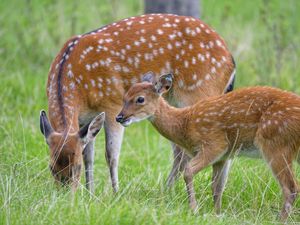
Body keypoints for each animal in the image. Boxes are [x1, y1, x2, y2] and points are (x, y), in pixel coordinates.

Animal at [39, 14, 236, 192]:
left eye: (76, 167)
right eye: (51, 167)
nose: (65, 195)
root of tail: (230, 59)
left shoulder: (112, 103)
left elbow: (111, 155)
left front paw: (115, 194)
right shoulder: (85, 119)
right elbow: (89, 155)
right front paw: (90, 192)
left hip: (200, 92)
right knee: (180, 150)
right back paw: (168, 191)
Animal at [116, 74, 300, 221]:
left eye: (140, 99)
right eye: (124, 96)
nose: (119, 117)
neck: (184, 124)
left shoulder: (215, 144)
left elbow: (188, 171)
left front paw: (194, 209)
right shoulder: (224, 156)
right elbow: (217, 187)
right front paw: (217, 214)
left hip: (275, 142)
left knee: (291, 188)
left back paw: (280, 220)